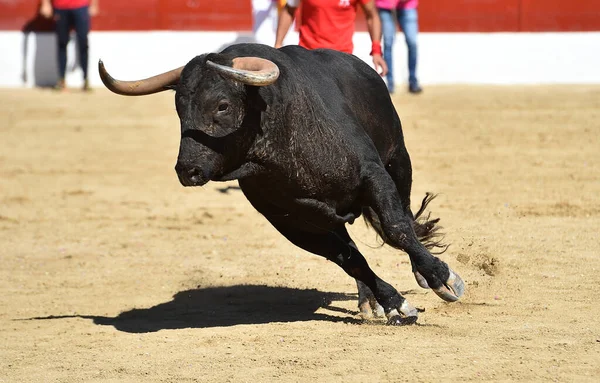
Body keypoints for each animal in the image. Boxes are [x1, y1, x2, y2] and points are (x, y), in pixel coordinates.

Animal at [99, 43, 464, 326]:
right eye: (179, 108)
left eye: (222, 105)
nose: (187, 170)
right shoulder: (293, 223)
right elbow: (350, 259)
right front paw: (393, 304)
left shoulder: (374, 176)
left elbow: (397, 228)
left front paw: (443, 278)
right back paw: (369, 300)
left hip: (399, 160)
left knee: (404, 217)